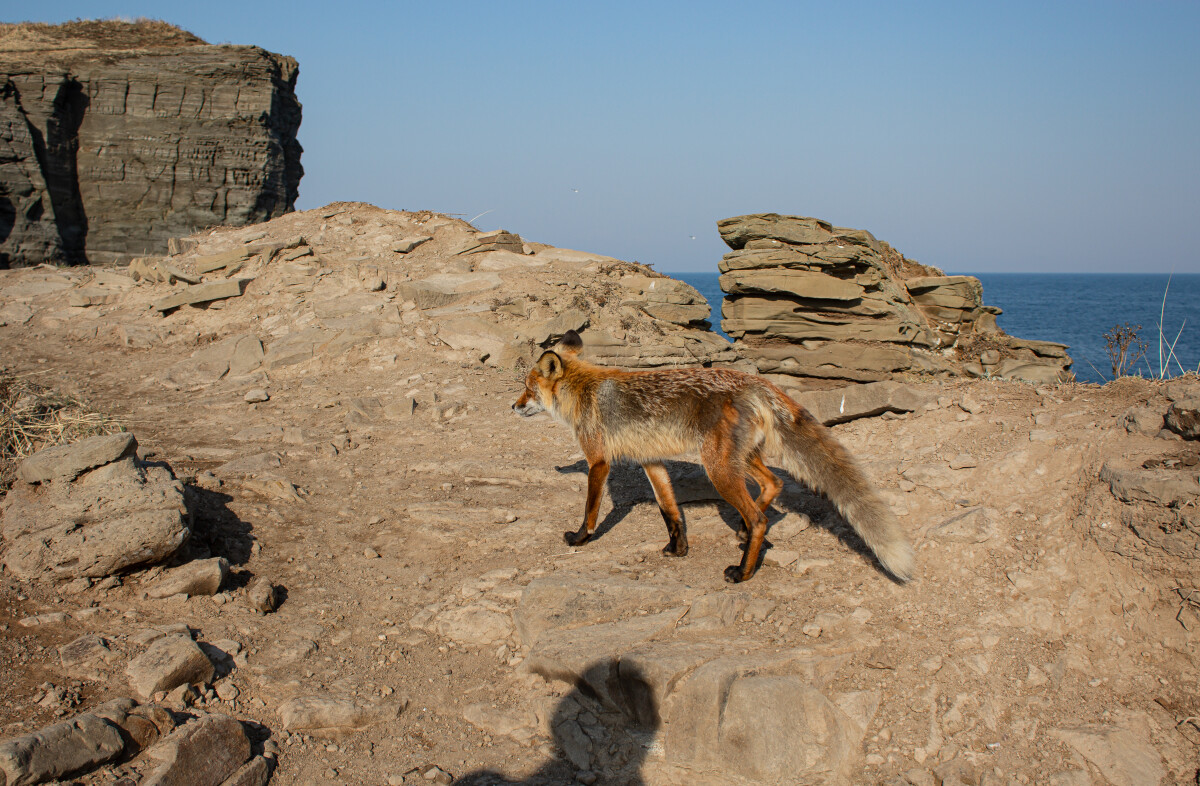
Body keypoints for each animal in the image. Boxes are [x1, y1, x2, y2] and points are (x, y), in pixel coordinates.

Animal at [511, 328, 912, 580]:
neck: (583, 390)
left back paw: (744, 571)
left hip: (718, 468)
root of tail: (756, 381)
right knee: (774, 484)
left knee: (761, 514)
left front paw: (580, 539)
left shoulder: (598, 460)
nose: (513, 406)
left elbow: (591, 511)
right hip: (740, 460)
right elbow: (670, 511)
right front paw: (678, 549)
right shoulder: (651, 461)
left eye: (528, 388)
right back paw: (744, 534)